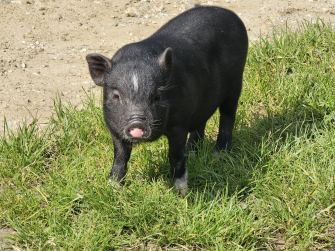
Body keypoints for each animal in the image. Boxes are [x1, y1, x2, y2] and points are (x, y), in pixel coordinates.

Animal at [86, 4, 249, 196]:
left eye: (157, 96)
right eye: (116, 96)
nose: (137, 123)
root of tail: (228, 13)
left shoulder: (179, 122)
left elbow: (175, 156)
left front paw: (182, 193)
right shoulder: (113, 127)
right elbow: (120, 157)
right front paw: (112, 188)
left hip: (236, 80)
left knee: (228, 115)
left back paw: (220, 154)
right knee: (201, 120)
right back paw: (193, 152)